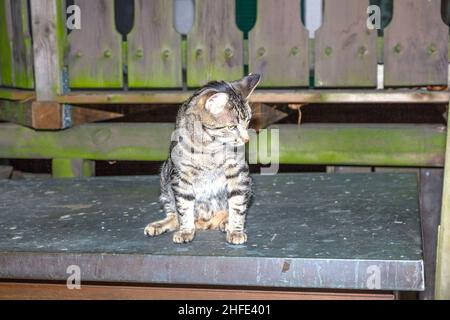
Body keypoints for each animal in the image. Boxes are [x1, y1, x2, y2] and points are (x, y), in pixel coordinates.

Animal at [142, 74, 258, 245]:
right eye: (231, 127)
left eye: (247, 121)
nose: (246, 139)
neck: (209, 147)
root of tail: (205, 222)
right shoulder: (181, 176)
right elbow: (184, 207)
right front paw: (185, 231)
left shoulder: (239, 172)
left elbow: (237, 204)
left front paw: (236, 231)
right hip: (165, 176)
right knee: (174, 214)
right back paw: (159, 225)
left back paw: (226, 221)